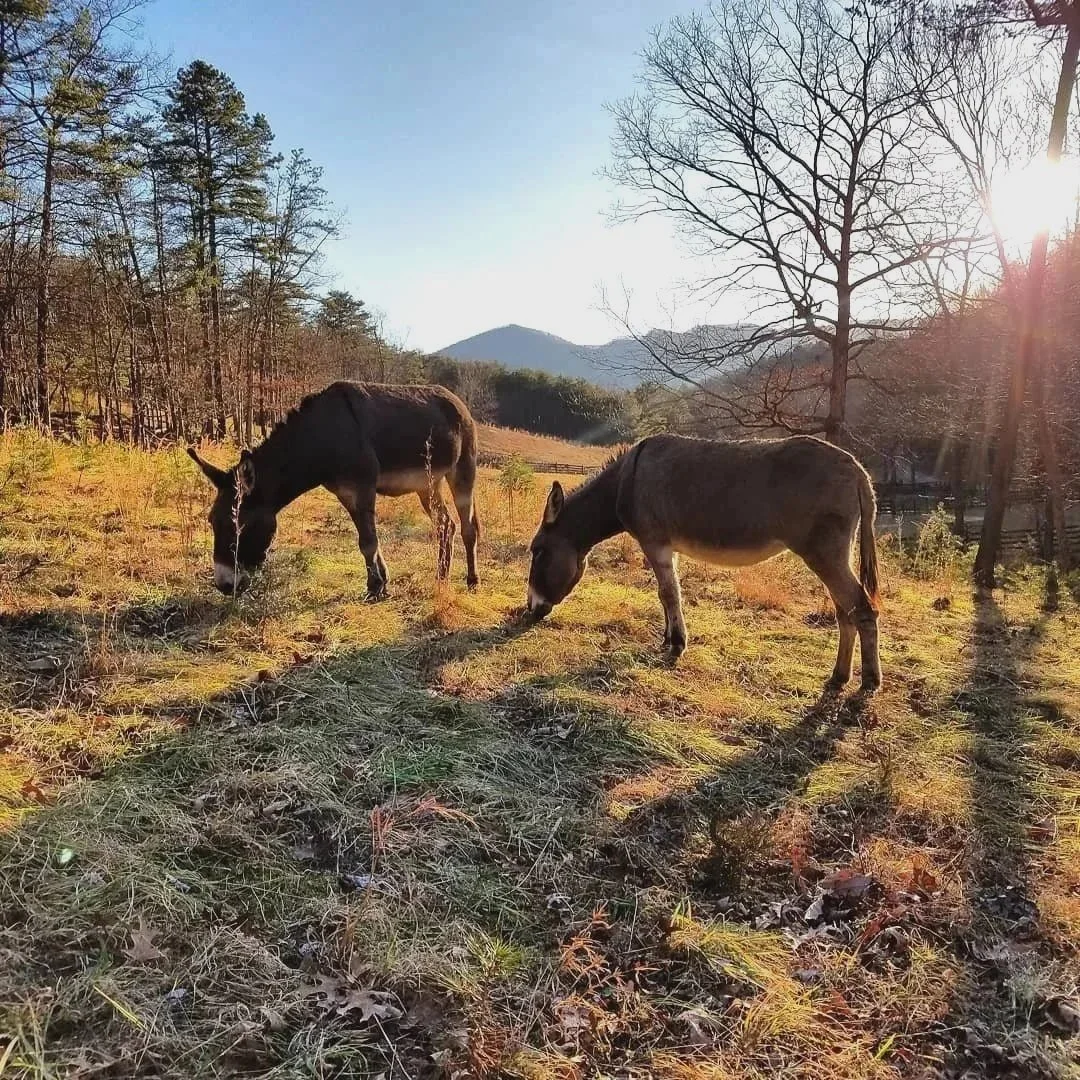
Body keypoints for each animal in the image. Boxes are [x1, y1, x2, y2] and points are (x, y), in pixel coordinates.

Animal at [187, 381, 480, 598]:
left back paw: (472, 581)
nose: (225, 586)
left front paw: (375, 588)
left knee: (467, 527)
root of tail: (457, 401)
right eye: (212, 521)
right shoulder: (346, 493)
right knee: (446, 525)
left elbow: (368, 542)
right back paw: (441, 578)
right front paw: (381, 582)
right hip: (427, 484)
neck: (321, 440)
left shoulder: (362, 489)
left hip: (462, 469)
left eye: (238, 525)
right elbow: (368, 541)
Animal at [525, 433, 882, 693]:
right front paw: (668, 638)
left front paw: (677, 645)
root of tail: (858, 470)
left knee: (863, 608)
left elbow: (669, 594)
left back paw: (869, 682)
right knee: (845, 610)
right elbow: (667, 594)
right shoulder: (668, 546)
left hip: (823, 552)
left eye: (537, 551)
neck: (624, 483)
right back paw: (839, 677)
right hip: (837, 552)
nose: (530, 609)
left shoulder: (654, 541)